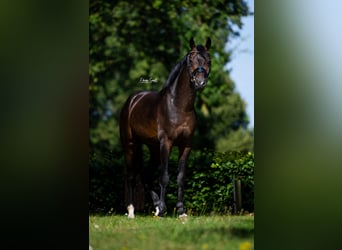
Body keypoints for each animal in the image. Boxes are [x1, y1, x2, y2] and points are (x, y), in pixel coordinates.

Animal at [119, 37, 211, 219]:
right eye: (191, 59)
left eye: (208, 60)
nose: (200, 82)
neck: (179, 106)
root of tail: (132, 101)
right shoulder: (166, 143)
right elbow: (165, 176)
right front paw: (163, 209)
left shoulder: (186, 146)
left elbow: (180, 177)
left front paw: (181, 211)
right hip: (131, 145)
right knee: (131, 175)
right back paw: (132, 211)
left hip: (153, 148)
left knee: (146, 175)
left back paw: (155, 207)